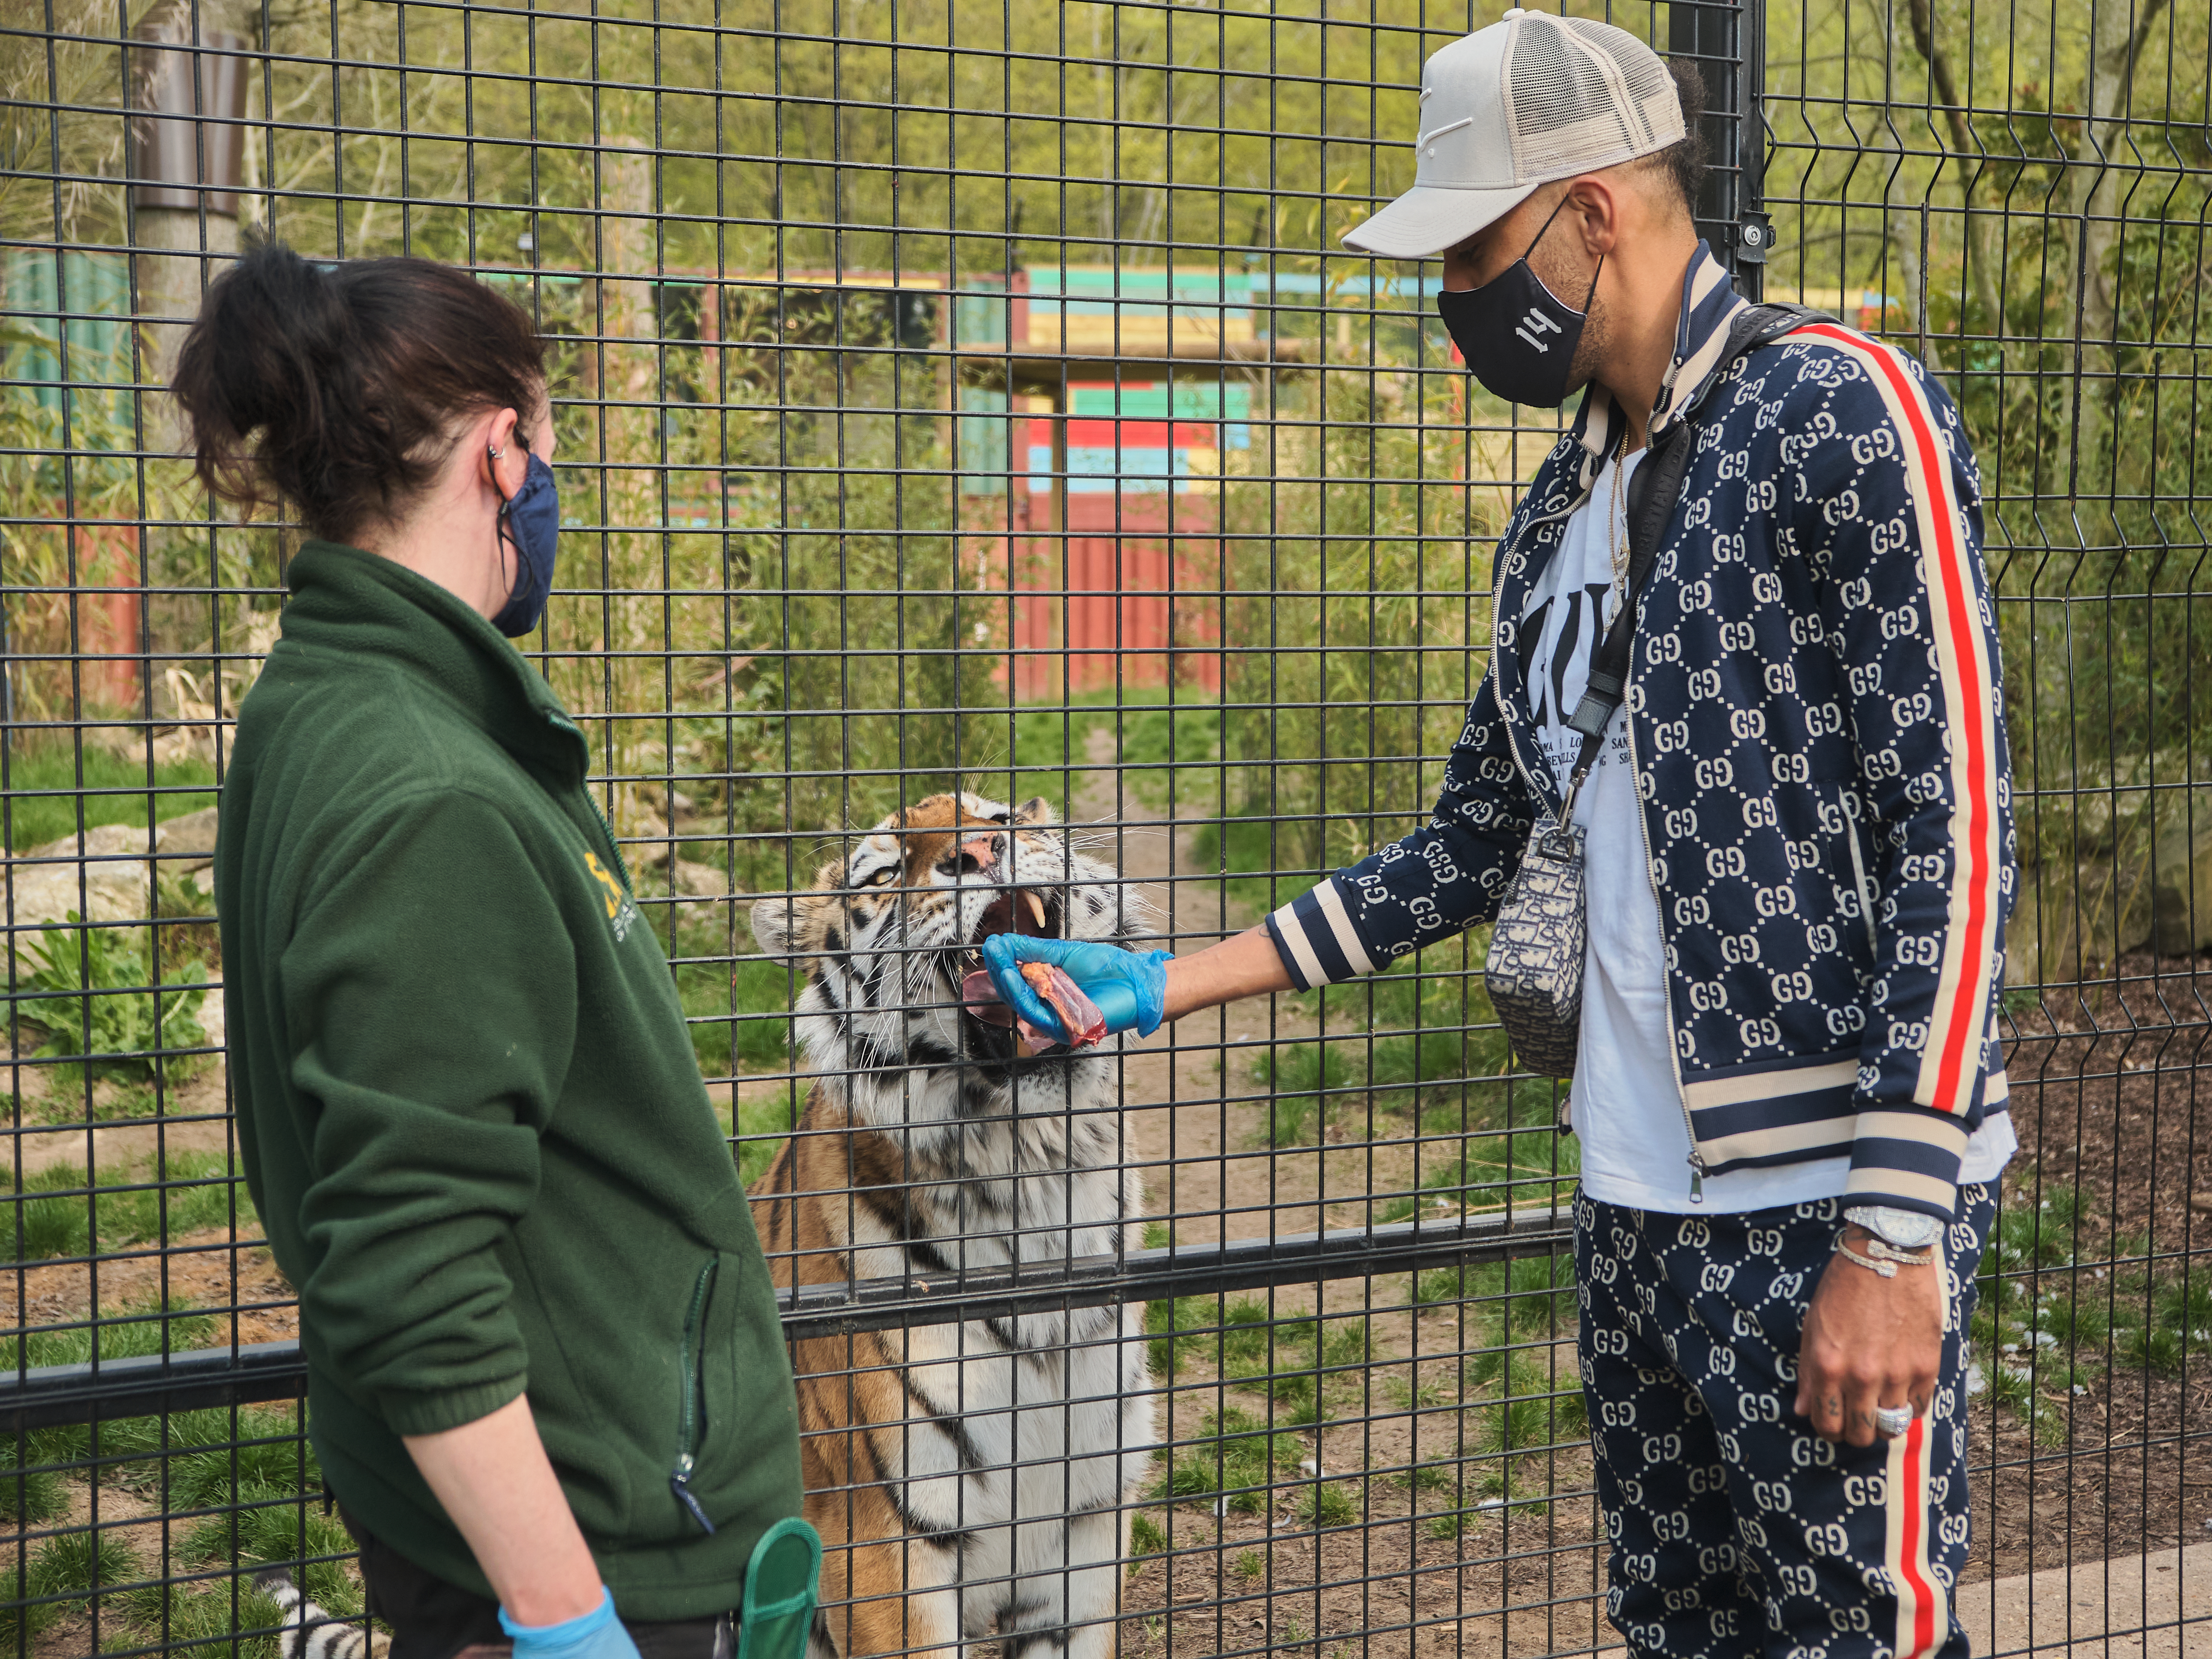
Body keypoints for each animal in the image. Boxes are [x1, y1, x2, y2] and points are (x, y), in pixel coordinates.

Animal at [747, 792, 1159, 1659]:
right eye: (884, 873)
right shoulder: (881, 1549)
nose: (979, 850)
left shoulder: (1082, 1529)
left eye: (1000, 814)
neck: (1038, 1181)